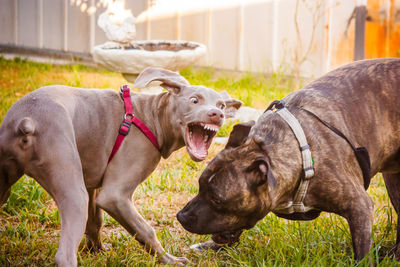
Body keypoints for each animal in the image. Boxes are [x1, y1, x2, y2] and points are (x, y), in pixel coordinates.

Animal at [0, 66, 241, 266]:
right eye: (194, 100)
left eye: (221, 105)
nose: (217, 114)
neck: (152, 116)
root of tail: (27, 121)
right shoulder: (114, 195)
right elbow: (145, 229)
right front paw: (169, 260)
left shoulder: (93, 185)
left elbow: (95, 221)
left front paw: (96, 251)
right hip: (72, 190)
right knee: (64, 255)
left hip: (6, 183)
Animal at [178, 58, 400, 262]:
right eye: (200, 185)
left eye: (217, 199)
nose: (181, 216)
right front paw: (209, 246)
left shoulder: (359, 207)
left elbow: (362, 253)